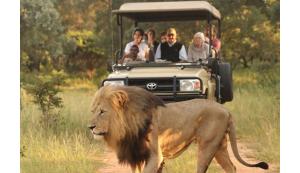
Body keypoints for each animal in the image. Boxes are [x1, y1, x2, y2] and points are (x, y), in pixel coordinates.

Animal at [88, 86, 268, 172]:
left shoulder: (155, 156)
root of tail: (226, 110)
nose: (90, 127)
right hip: (220, 147)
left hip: (208, 146)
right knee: (231, 167)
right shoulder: (137, 156)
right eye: (93, 111)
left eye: (102, 112)